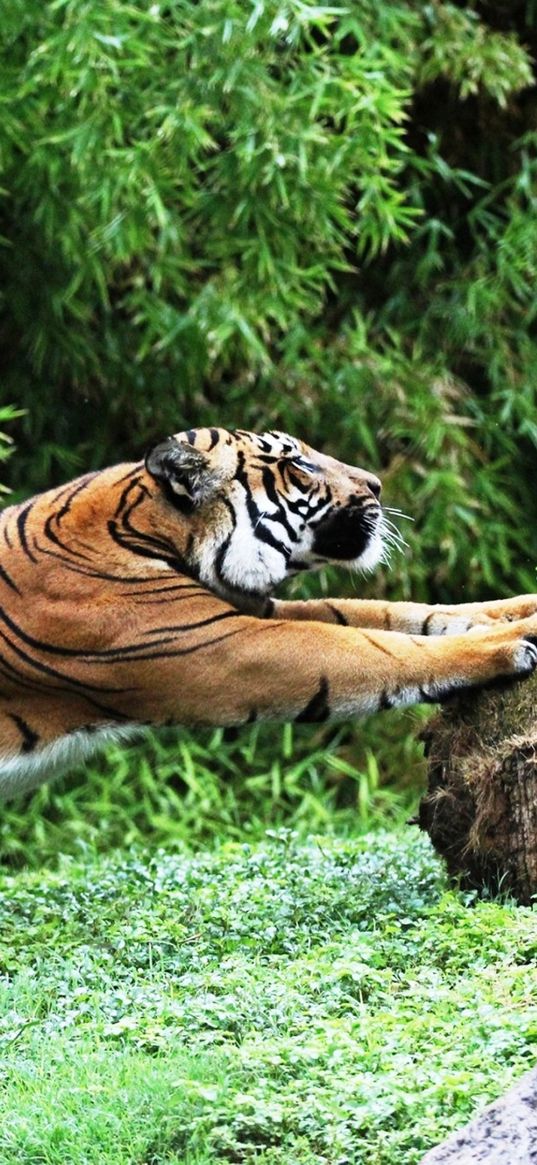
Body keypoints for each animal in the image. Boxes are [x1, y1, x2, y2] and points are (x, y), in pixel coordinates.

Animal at [0, 424, 535, 796]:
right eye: (299, 464)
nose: (378, 484)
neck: (147, 528)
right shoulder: (231, 646)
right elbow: (385, 648)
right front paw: (513, 644)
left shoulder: (250, 611)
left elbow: (389, 614)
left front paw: (525, 609)